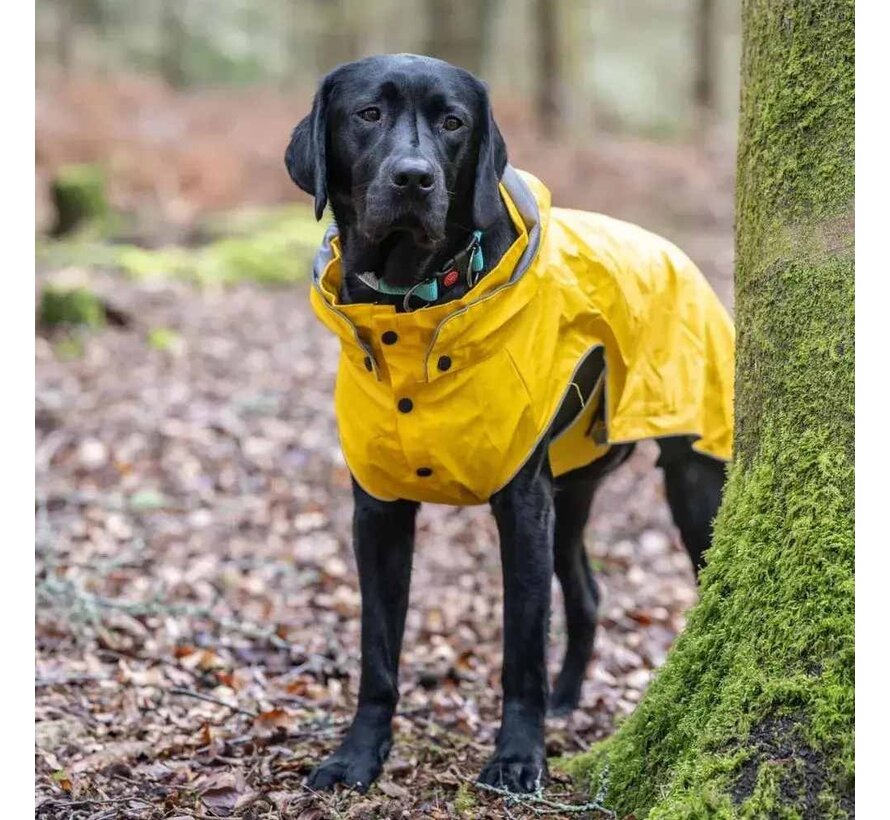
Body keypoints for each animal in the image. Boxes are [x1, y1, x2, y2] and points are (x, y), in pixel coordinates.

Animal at [288, 52, 724, 796]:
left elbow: (520, 648)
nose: (414, 177)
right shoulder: (378, 509)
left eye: (453, 122)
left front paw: (519, 757)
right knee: (587, 593)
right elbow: (378, 651)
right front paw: (358, 755)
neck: (411, 308)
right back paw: (569, 698)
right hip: (571, 492)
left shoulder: (521, 506)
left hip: (689, 478)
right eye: (367, 114)